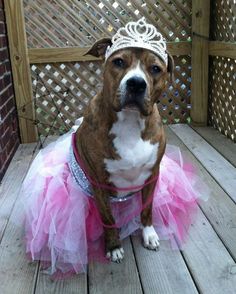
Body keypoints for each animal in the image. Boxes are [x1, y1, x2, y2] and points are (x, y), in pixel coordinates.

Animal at [74, 19, 174, 262]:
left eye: (155, 69)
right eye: (118, 62)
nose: (136, 83)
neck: (130, 121)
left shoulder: (152, 176)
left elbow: (146, 209)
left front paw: (149, 234)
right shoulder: (99, 183)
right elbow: (108, 218)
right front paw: (113, 246)